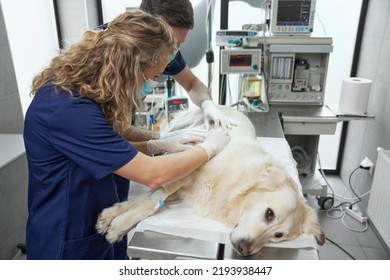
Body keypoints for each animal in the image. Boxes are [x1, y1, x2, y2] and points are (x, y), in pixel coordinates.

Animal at [96, 105, 324, 256]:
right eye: (269, 214)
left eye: (278, 236)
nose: (244, 250)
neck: (238, 182)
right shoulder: (185, 171)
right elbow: (146, 201)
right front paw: (118, 225)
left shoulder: (180, 185)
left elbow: (146, 200)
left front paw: (112, 218)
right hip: (182, 127)